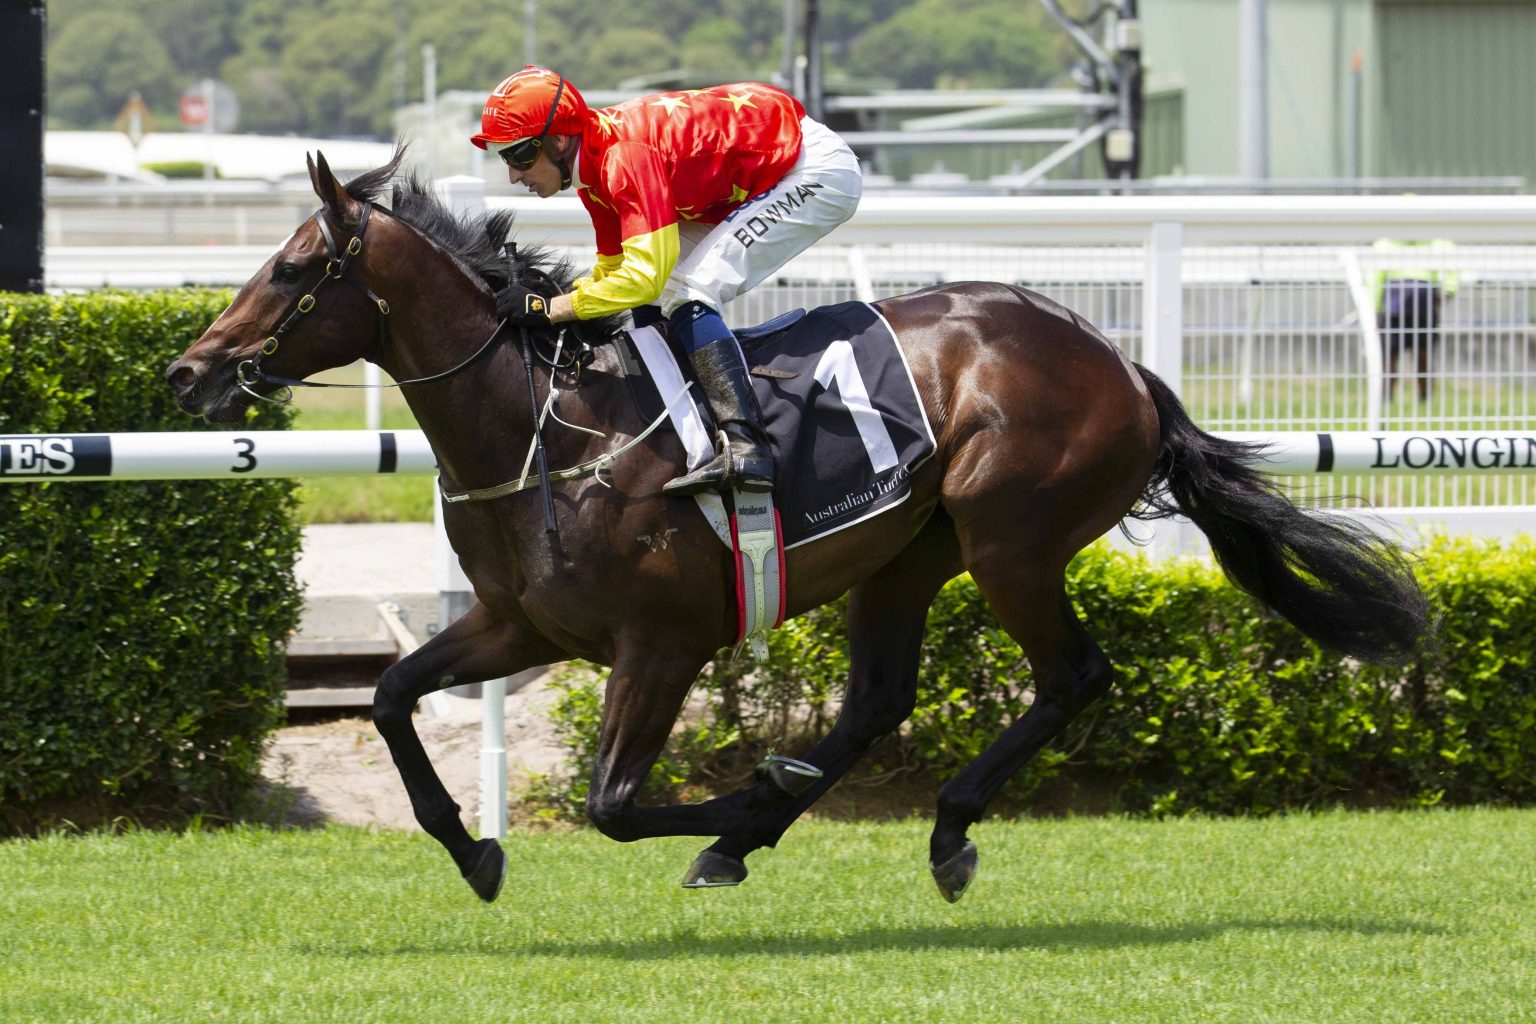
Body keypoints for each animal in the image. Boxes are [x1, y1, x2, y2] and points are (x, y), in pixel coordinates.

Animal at [165, 151, 1425, 902]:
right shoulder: (523, 626)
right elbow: (387, 694)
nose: (188, 371)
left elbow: (613, 805)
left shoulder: (663, 641)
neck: (548, 424)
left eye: (292, 268)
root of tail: (1119, 360)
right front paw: (475, 848)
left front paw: (748, 795)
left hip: (1010, 536)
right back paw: (775, 833)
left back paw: (935, 826)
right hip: (910, 553)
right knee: (876, 701)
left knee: (1074, 674)